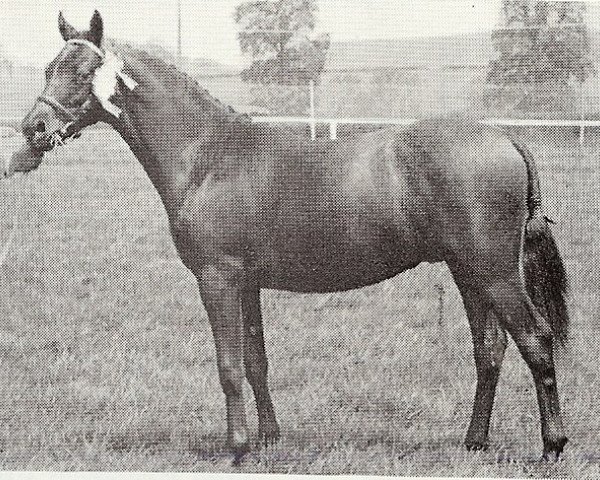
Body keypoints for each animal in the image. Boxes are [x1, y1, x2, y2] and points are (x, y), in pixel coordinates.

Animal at [18, 11, 568, 462]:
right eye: (49, 68)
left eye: (83, 72)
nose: (33, 128)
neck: (208, 157)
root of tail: (504, 136)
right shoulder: (246, 283)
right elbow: (256, 361)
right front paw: (268, 439)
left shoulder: (216, 280)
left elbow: (228, 365)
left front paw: (238, 448)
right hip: (468, 273)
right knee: (490, 350)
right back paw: (474, 442)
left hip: (495, 274)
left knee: (536, 341)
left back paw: (552, 447)